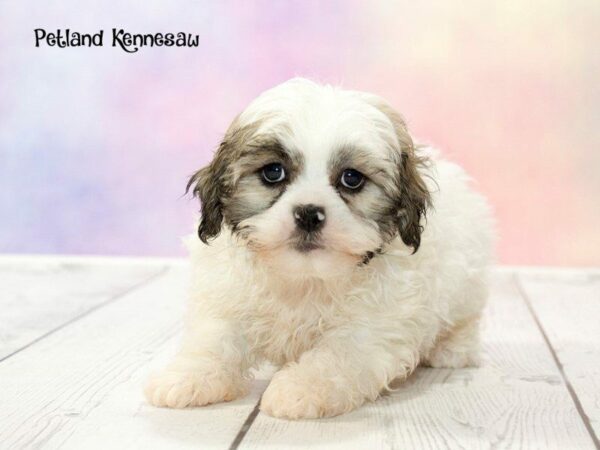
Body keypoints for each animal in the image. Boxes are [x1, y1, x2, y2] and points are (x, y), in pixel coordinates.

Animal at [144, 77, 492, 418]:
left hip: (466, 288)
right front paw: (188, 376)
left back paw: (452, 349)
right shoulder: (227, 300)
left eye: (351, 178)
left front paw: (299, 389)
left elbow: (337, 356)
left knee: (464, 320)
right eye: (273, 172)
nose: (309, 214)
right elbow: (214, 338)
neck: (304, 277)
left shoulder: (371, 327)